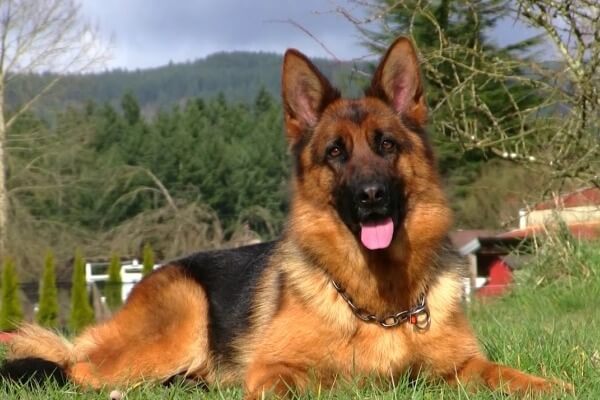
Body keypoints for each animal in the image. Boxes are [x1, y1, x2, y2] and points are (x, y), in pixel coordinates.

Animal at [1, 37, 572, 396]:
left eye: (386, 145)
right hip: (176, 321)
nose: (370, 197)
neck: (378, 302)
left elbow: (510, 375)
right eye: (335, 153)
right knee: (79, 373)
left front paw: (555, 385)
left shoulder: (463, 367)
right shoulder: (275, 371)